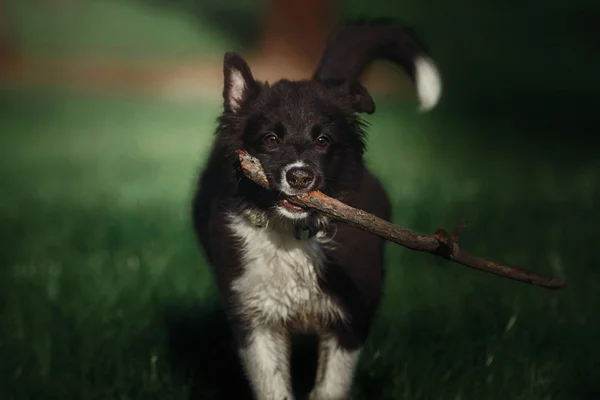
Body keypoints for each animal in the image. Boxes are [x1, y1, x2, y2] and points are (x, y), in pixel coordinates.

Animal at [192, 18, 440, 400]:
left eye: (323, 141)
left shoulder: (351, 316)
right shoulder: (254, 316)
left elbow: (330, 387)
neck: (294, 235)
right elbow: (273, 386)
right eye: (270, 139)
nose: (300, 177)